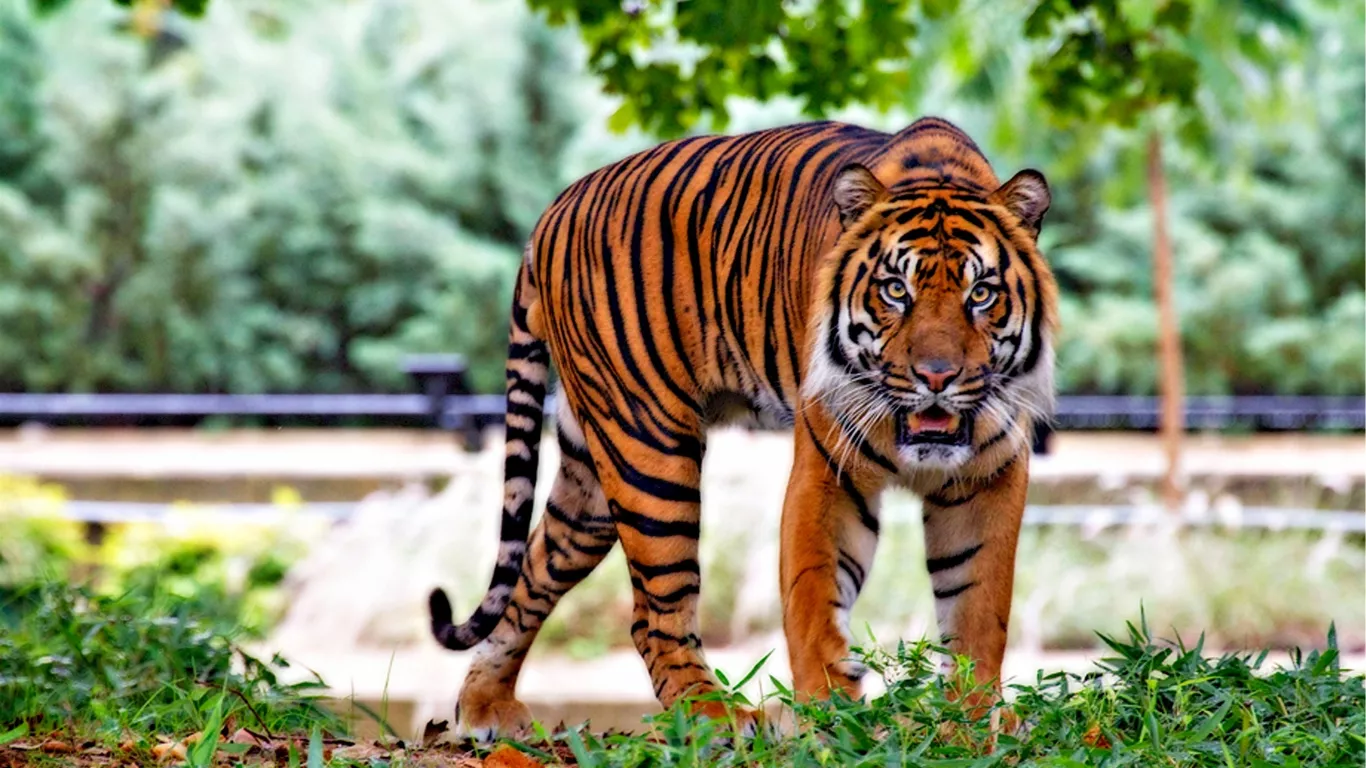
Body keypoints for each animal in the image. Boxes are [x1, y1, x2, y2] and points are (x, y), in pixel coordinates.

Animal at [428, 116, 1057, 740]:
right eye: (895, 290)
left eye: (981, 293)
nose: (936, 377)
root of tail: (553, 209)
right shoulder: (827, 471)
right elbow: (814, 599)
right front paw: (832, 720)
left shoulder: (990, 477)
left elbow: (978, 608)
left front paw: (970, 719)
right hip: (649, 450)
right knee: (653, 614)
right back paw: (715, 717)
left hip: (591, 480)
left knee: (534, 570)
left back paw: (485, 705)